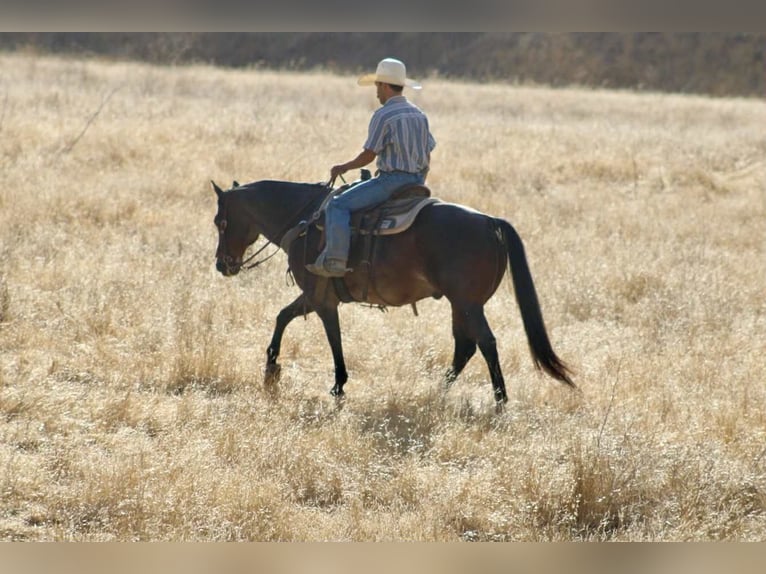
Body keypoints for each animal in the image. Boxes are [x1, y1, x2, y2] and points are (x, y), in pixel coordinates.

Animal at [211, 178, 574, 409]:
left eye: (220, 221)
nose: (221, 264)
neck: (304, 221)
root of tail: (489, 221)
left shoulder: (321, 298)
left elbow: (333, 338)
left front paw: (338, 386)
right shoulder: (313, 298)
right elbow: (283, 316)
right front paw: (271, 372)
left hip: (468, 304)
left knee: (485, 343)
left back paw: (499, 400)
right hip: (461, 305)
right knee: (465, 346)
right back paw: (437, 390)